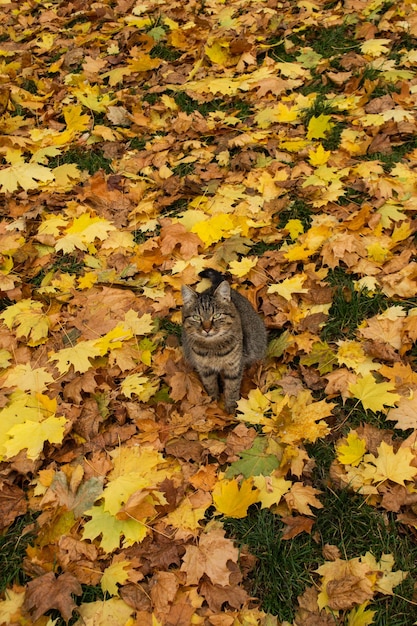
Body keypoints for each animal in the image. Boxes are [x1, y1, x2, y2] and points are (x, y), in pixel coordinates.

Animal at [180, 266, 266, 410]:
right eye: (196, 317)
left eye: (217, 315)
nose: (207, 329)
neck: (213, 348)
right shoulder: (205, 369)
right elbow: (210, 385)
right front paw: (213, 401)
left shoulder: (234, 367)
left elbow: (232, 389)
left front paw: (231, 407)